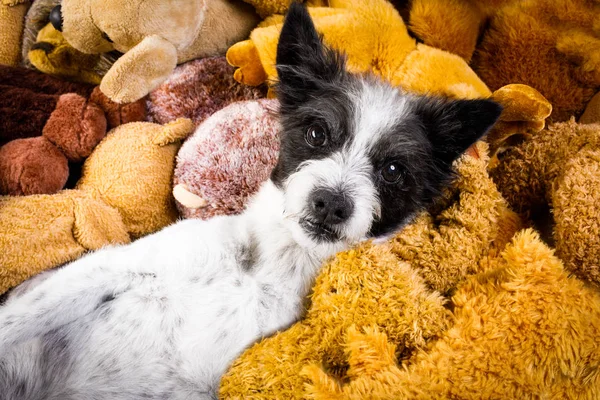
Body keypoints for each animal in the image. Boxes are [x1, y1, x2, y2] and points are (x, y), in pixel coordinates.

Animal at [0, 3, 502, 400]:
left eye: (394, 171)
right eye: (316, 133)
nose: (330, 204)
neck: (270, 266)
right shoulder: (113, 266)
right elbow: (17, 318)